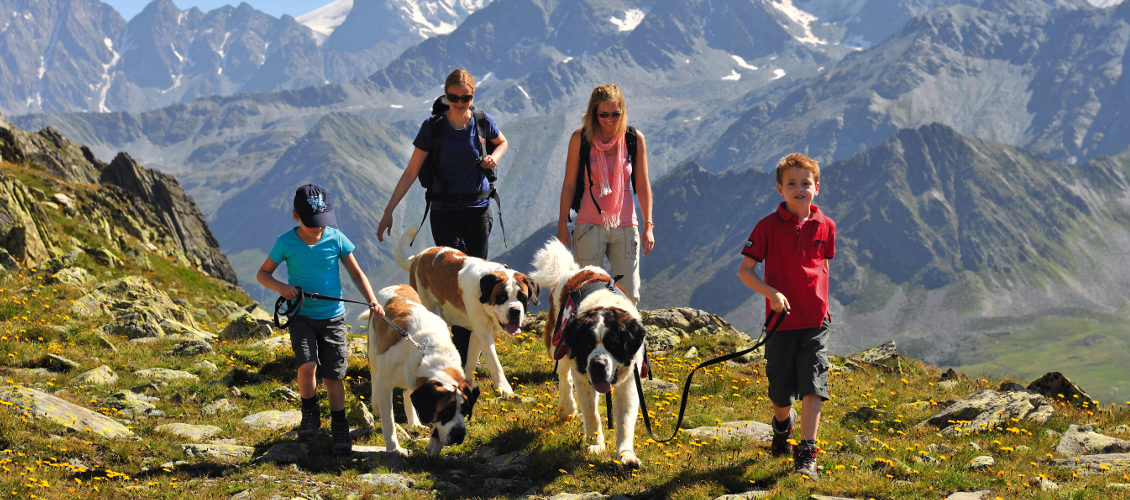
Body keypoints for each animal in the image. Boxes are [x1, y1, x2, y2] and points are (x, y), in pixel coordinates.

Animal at [359, 285, 479, 457]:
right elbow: (389, 421)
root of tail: (397, 286)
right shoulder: (385, 382)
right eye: (445, 412)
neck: (429, 353)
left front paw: (434, 445)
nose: (459, 434)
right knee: (374, 375)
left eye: (465, 410)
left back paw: (414, 422)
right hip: (374, 350)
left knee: (407, 393)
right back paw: (376, 405)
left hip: (410, 377)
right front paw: (394, 448)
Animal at [395, 227, 540, 398]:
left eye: (522, 298)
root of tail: (417, 257)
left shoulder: (478, 333)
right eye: (501, 297)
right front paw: (505, 389)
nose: (515, 310)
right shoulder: (483, 333)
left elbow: (471, 359)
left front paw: (468, 380)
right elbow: (495, 363)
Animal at [528, 236, 646, 466]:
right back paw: (567, 407)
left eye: (613, 344)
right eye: (587, 345)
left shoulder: (629, 380)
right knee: (563, 375)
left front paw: (626, 455)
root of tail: (575, 271)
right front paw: (595, 444)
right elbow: (591, 412)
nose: (598, 365)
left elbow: (626, 419)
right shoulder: (581, 372)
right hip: (558, 342)